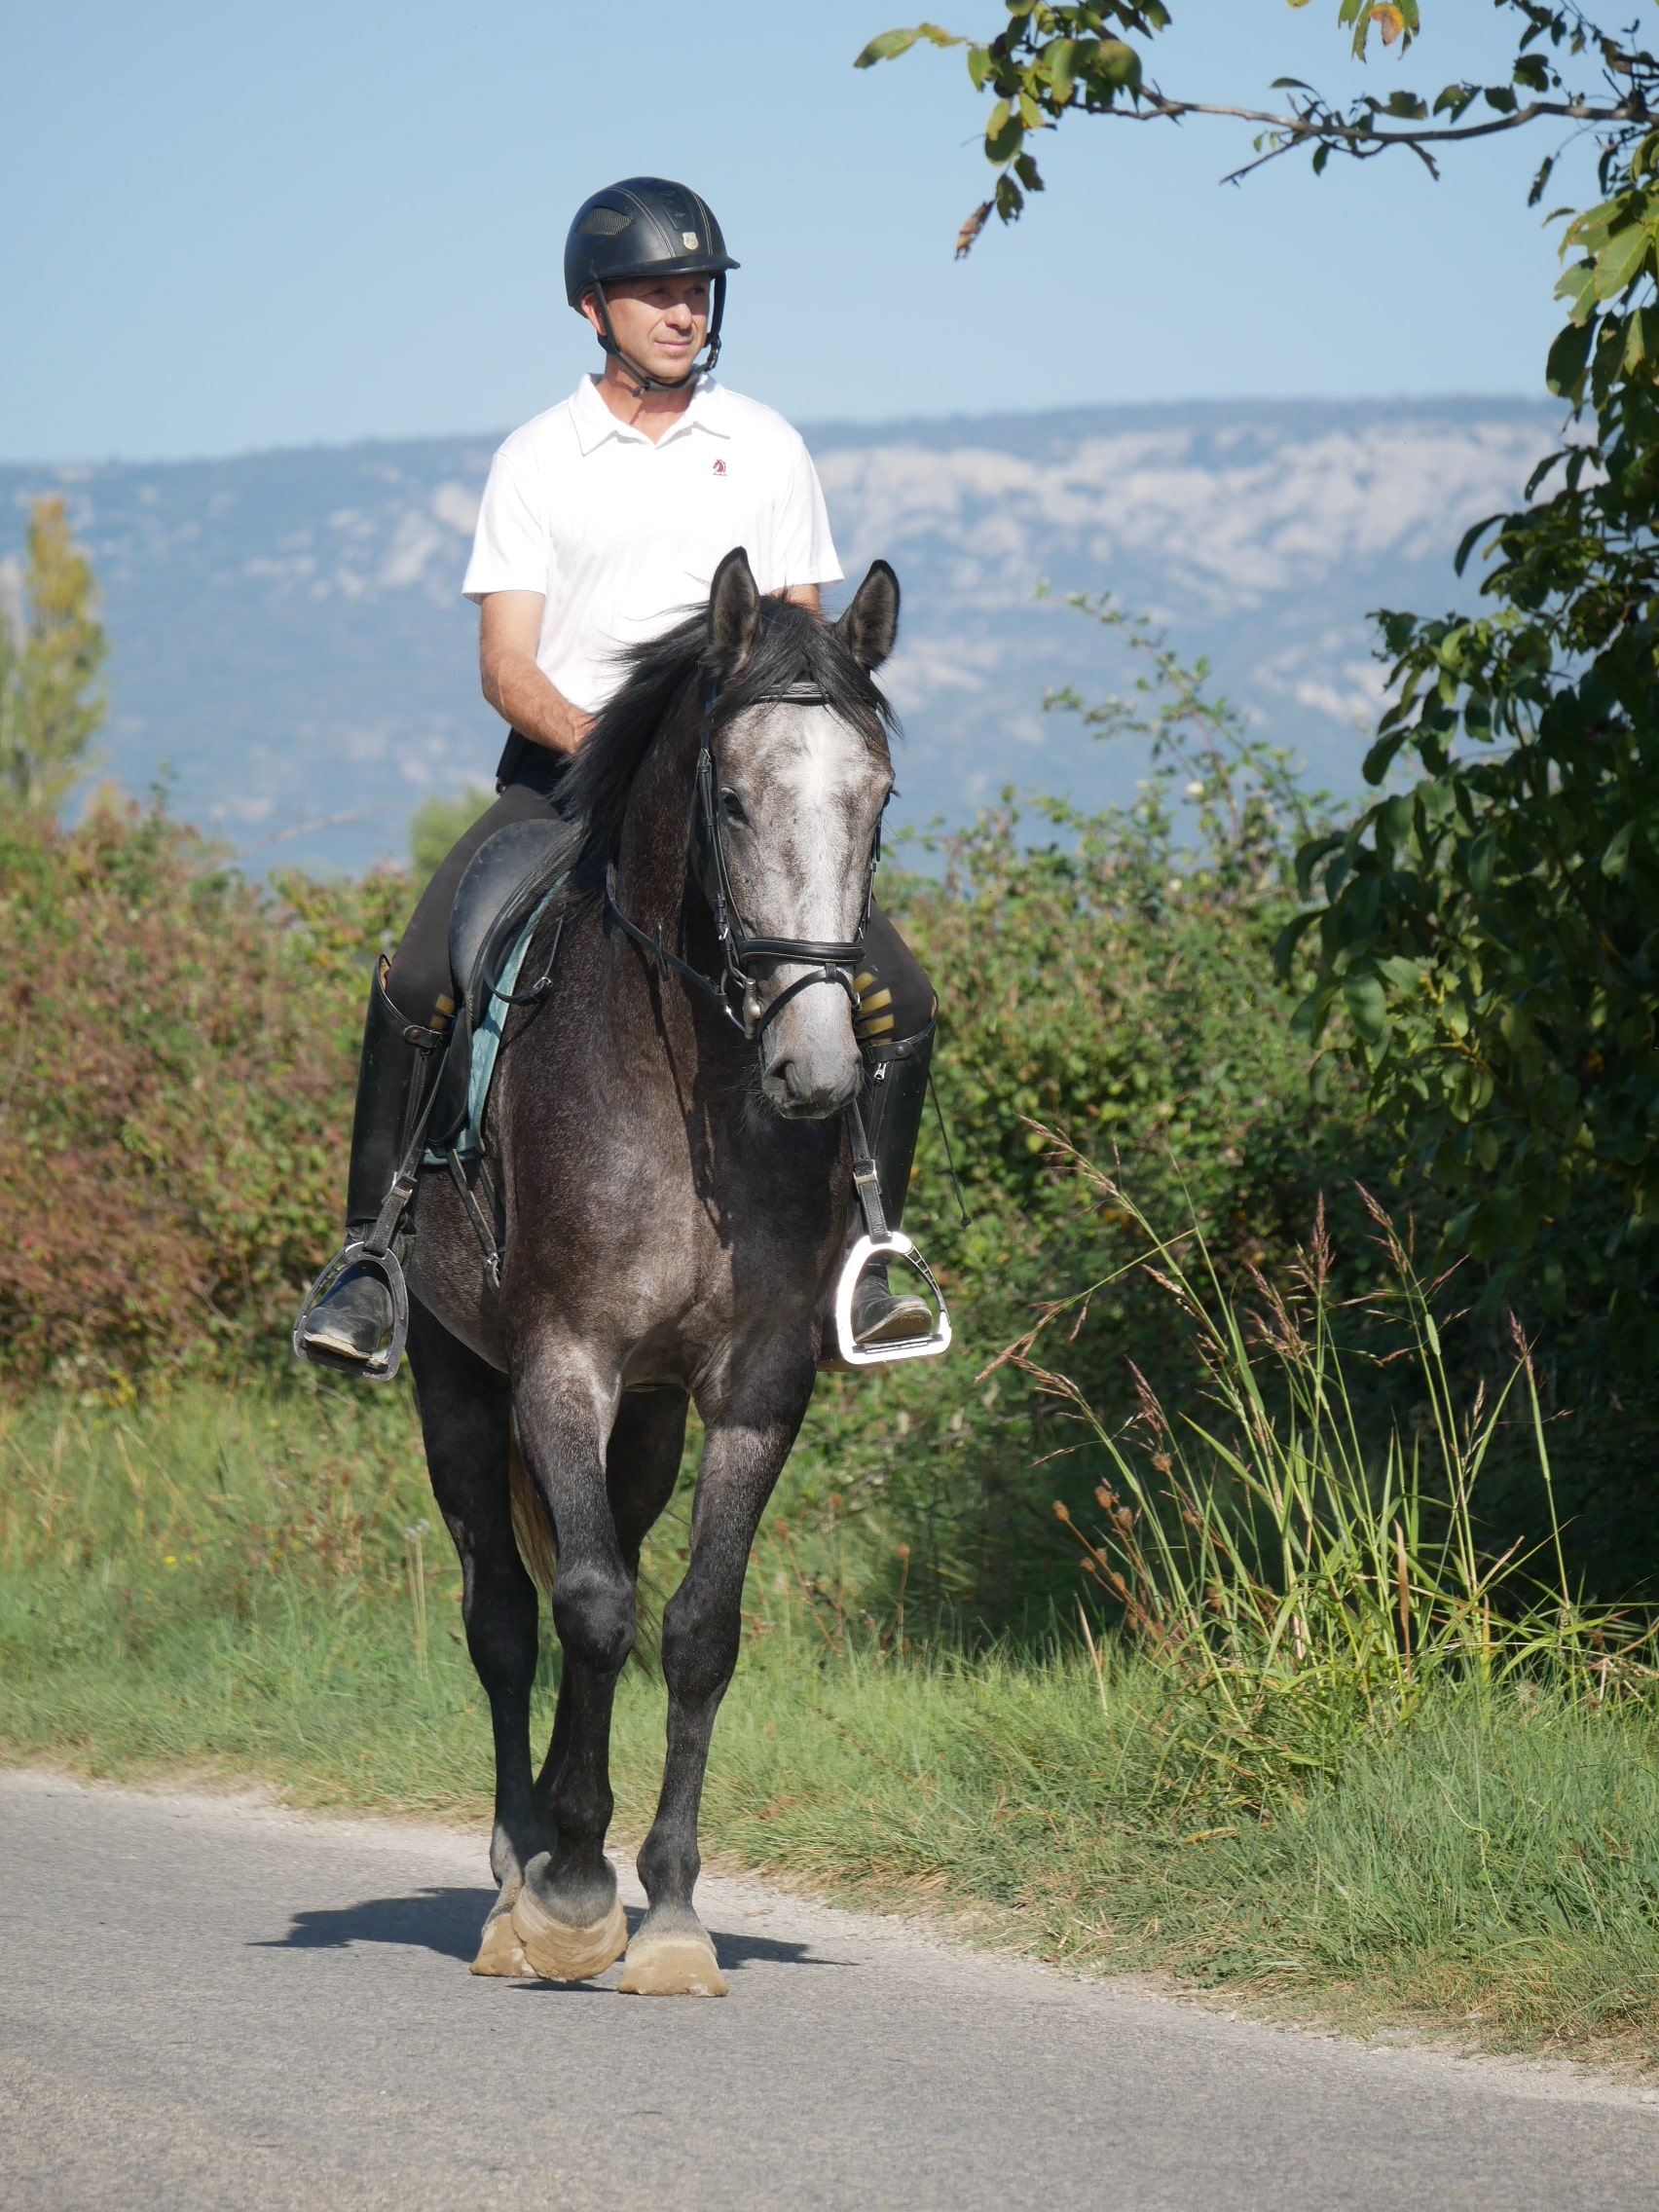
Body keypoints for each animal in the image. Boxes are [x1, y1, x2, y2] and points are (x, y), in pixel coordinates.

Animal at [402, 546, 903, 1996]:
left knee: (610, 1575)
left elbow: (690, 1628)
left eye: (877, 801)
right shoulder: (559, 1363)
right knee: (509, 1613)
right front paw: (571, 1894)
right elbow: (580, 1607)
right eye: (731, 800)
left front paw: (669, 1908)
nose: (818, 1070)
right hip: (456, 1384)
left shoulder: (752, 1389)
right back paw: (521, 1870)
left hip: (650, 1416)